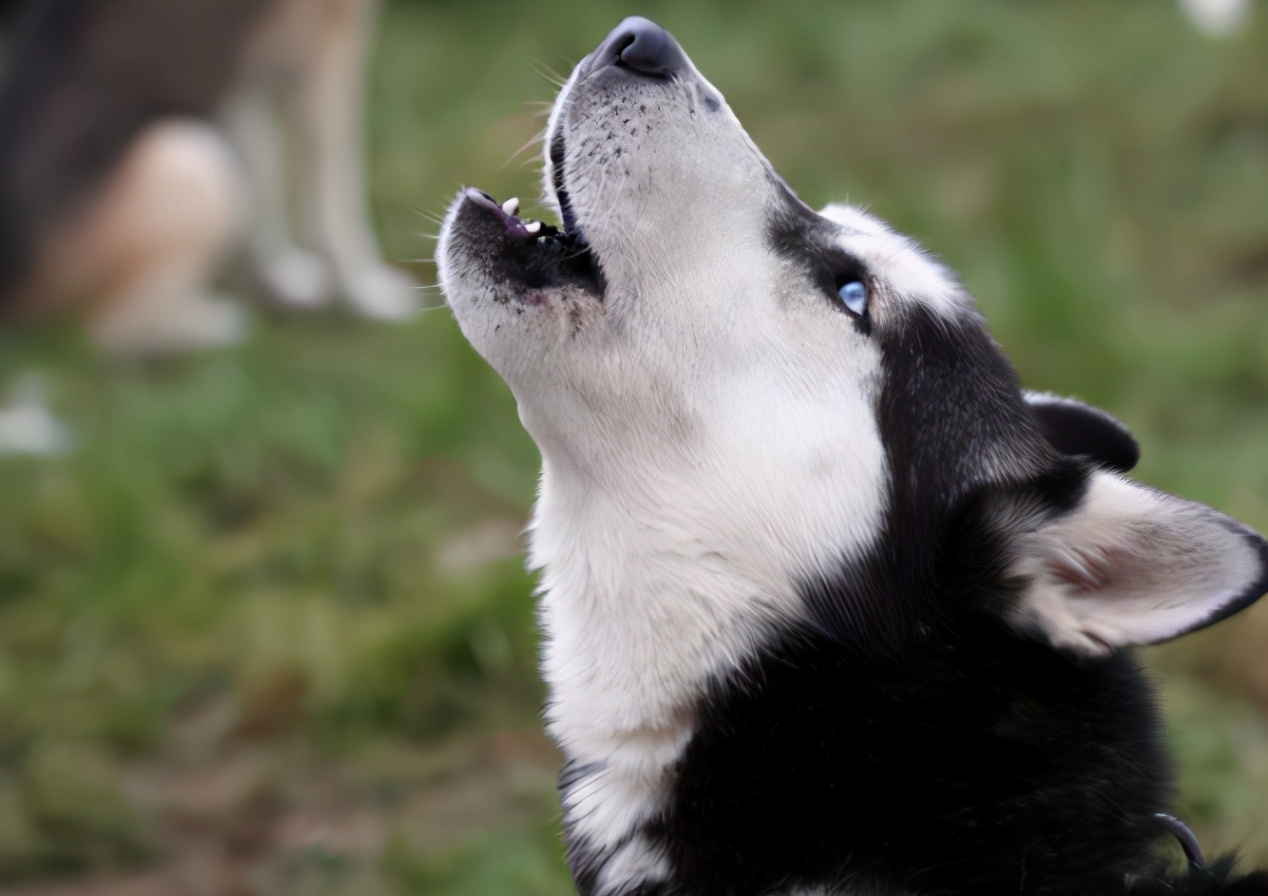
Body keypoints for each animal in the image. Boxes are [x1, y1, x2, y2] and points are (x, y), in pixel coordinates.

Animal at [0, 0, 413, 357]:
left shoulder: (249, 69)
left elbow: (263, 190)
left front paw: (279, 280)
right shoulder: (326, 48)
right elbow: (335, 202)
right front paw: (367, 297)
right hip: (196, 159)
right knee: (105, 332)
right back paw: (224, 325)